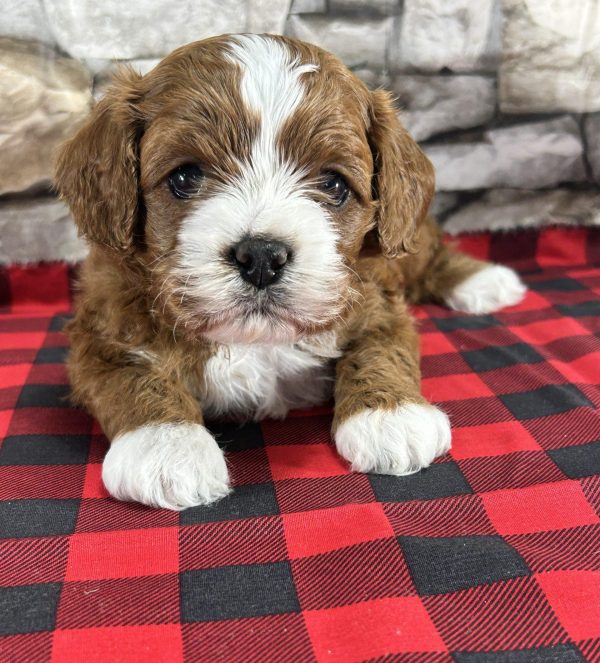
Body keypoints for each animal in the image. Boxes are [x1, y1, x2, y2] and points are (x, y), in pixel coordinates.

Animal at [55, 33, 524, 510]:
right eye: (184, 177)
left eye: (334, 184)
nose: (262, 255)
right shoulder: (101, 329)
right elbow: (130, 373)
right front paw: (166, 445)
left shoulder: (377, 299)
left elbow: (380, 347)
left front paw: (391, 415)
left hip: (406, 236)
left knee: (429, 253)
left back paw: (484, 280)